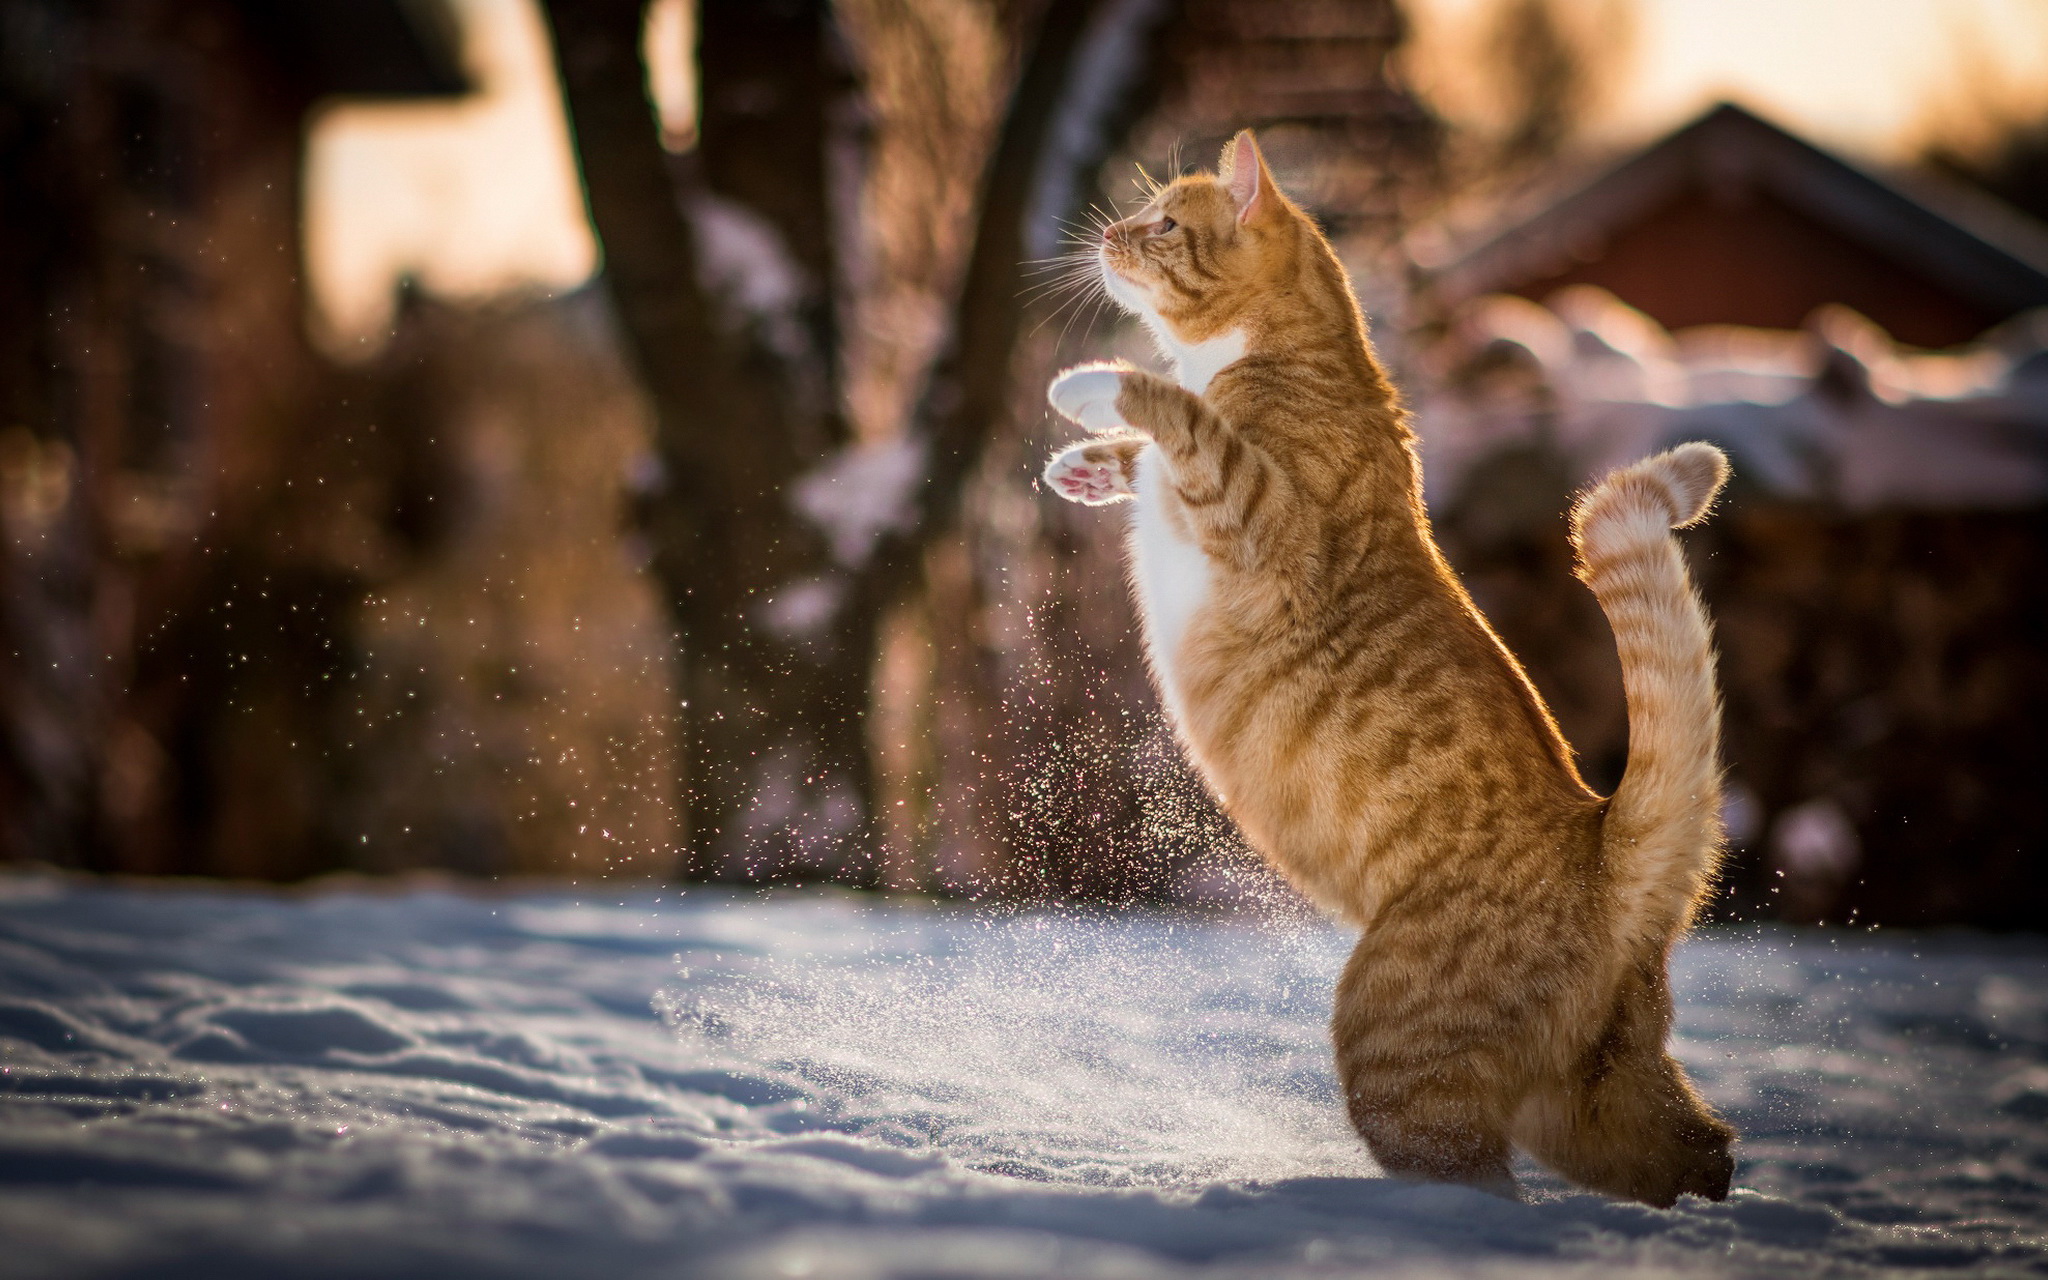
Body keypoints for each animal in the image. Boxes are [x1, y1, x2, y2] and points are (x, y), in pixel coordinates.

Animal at [1048, 130, 1736, 1196]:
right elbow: (1156, 445)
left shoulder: (1260, 518)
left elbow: (1176, 415)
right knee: (1707, 1154)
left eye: (1162, 223)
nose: (1107, 232)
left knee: (1472, 1186)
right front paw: (1083, 465)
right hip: (1597, 1111)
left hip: (1395, 1045)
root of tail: (1600, 837)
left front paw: (1087, 387)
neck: (1270, 355)